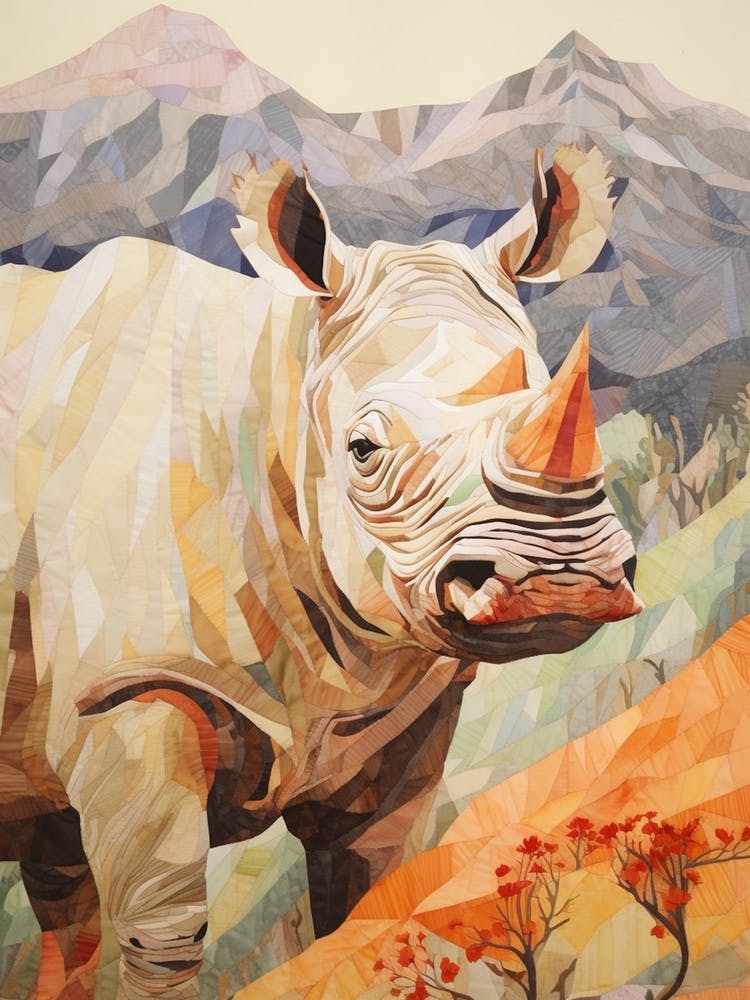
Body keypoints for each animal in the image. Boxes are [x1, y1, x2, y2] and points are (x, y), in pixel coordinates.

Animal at [0, 144, 641, 997]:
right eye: (363, 451)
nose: (557, 577)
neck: (282, 395)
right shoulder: (127, 685)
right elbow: (162, 932)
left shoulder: (402, 704)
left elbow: (371, 899)